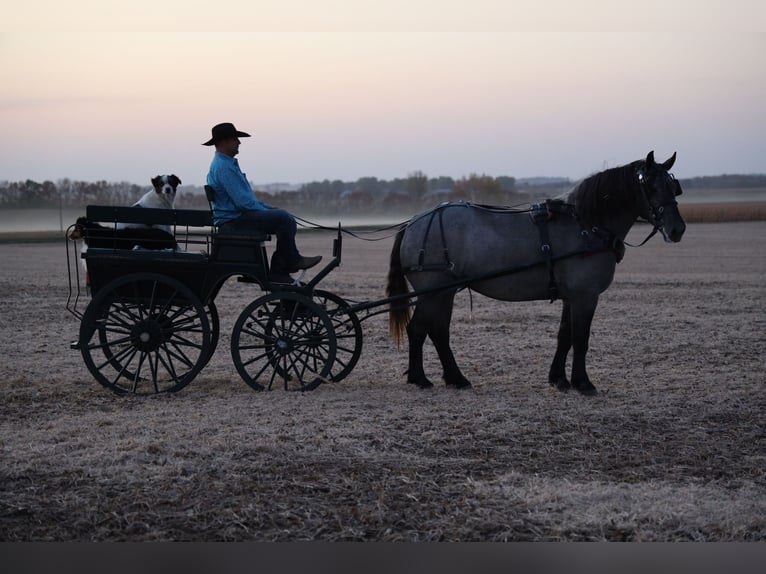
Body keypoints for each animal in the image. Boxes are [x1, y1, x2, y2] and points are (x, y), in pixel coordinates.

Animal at [388, 152, 688, 396]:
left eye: (673, 187)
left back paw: (455, 378)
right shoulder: (586, 296)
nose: (677, 229)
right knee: (418, 329)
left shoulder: (572, 296)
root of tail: (414, 222)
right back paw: (420, 378)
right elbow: (581, 338)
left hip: (444, 292)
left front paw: (559, 379)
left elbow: (564, 335)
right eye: (651, 186)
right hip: (433, 292)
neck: (586, 225)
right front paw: (583, 383)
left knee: (438, 332)